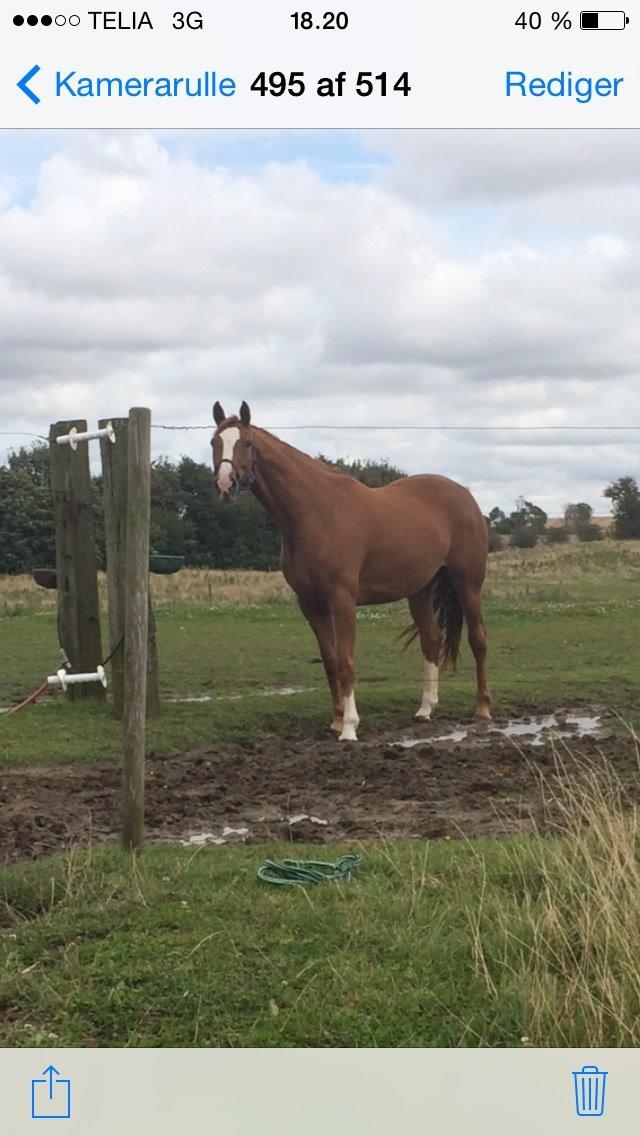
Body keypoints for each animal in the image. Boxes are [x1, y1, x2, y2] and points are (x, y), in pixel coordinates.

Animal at [211, 404, 491, 740]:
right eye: (214, 442)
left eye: (247, 443)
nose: (226, 485)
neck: (316, 513)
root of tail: (466, 496)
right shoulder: (311, 604)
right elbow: (330, 661)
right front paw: (336, 720)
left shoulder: (342, 600)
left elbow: (346, 661)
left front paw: (349, 727)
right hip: (421, 590)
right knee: (432, 640)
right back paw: (425, 709)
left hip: (468, 583)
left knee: (478, 640)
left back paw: (482, 709)